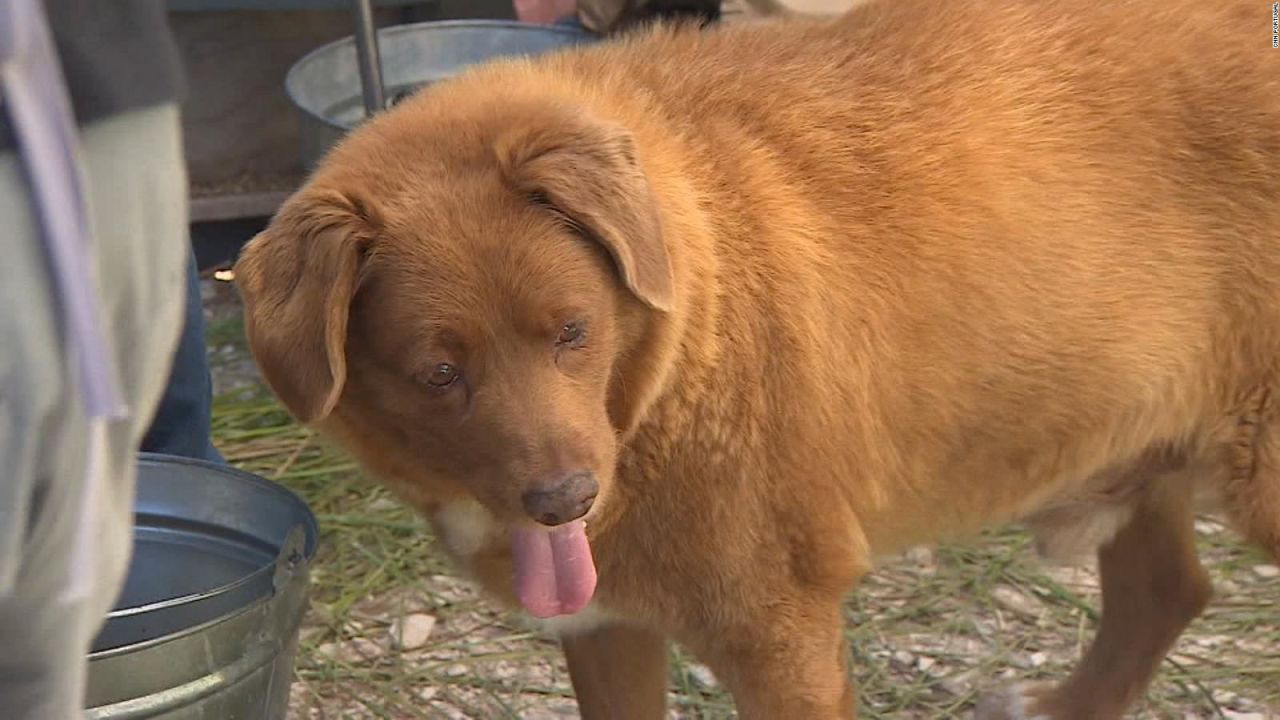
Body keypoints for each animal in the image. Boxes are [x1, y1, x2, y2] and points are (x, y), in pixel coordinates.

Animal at [232, 2, 1280, 712]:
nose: (565, 502)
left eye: (574, 331)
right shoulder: (606, 625)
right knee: (1165, 593)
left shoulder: (780, 637)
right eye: (438, 374)